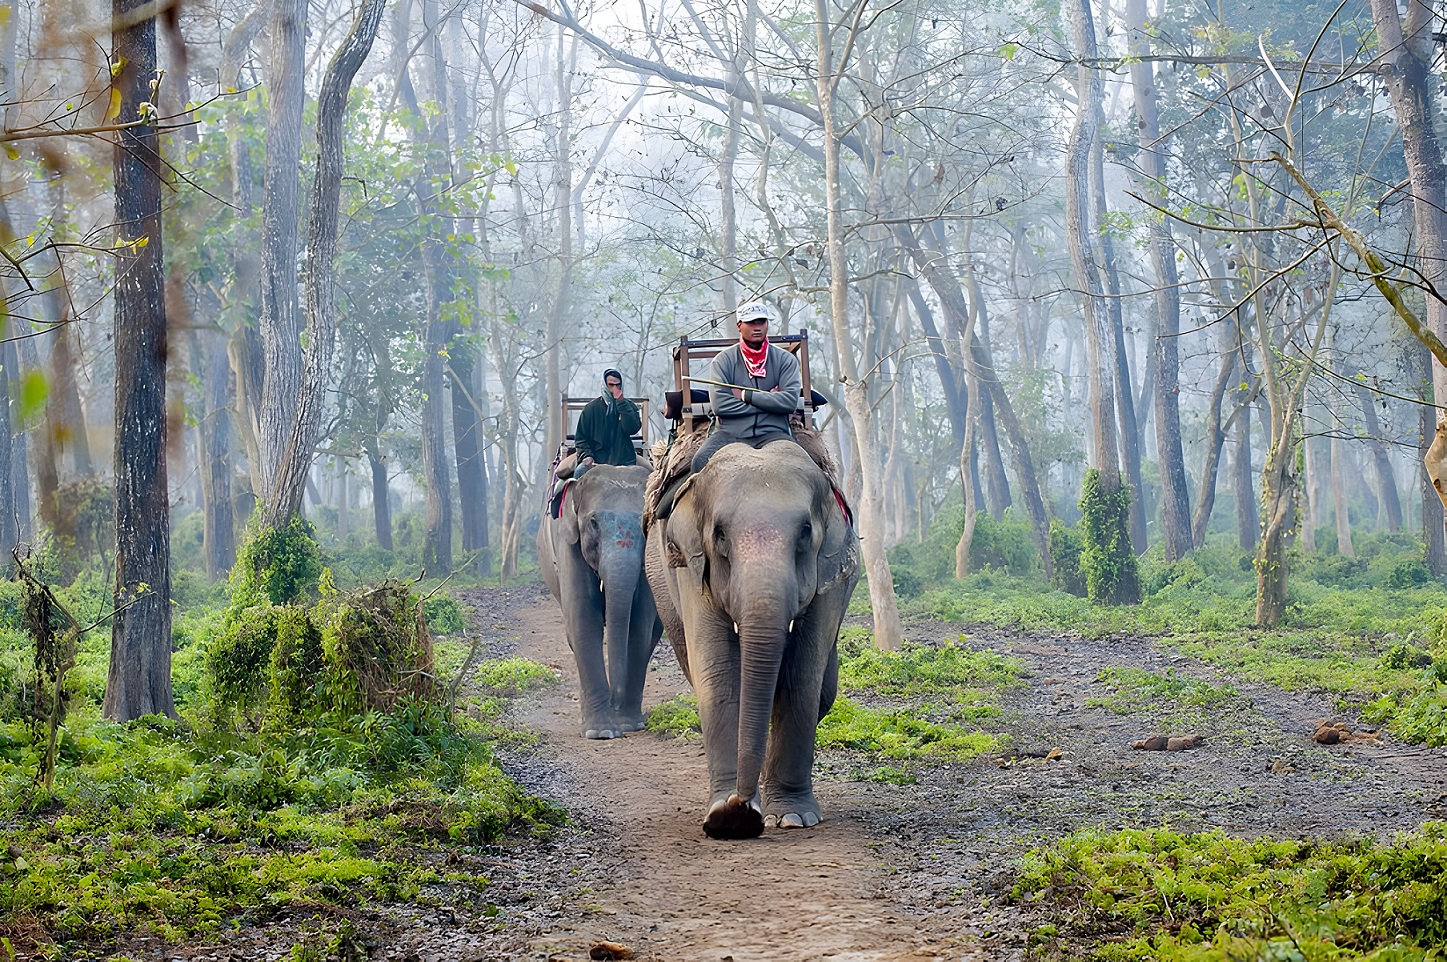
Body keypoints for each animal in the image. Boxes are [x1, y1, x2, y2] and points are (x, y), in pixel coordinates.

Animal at [538, 462, 662, 737]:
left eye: (644, 524)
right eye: (593, 522)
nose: (615, 702)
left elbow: (639, 623)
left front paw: (628, 724)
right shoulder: (568, 544)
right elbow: (584, 619)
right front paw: (602, 732)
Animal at [648, 439, 856, 839]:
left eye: (805, 532)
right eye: (719, 534)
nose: (741, 806)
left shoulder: (829, 574)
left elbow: (800, 676)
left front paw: (792, 817)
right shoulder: (692, 568)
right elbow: (718, 674)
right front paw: (724, 816)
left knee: (823, 690)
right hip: (661, 584)